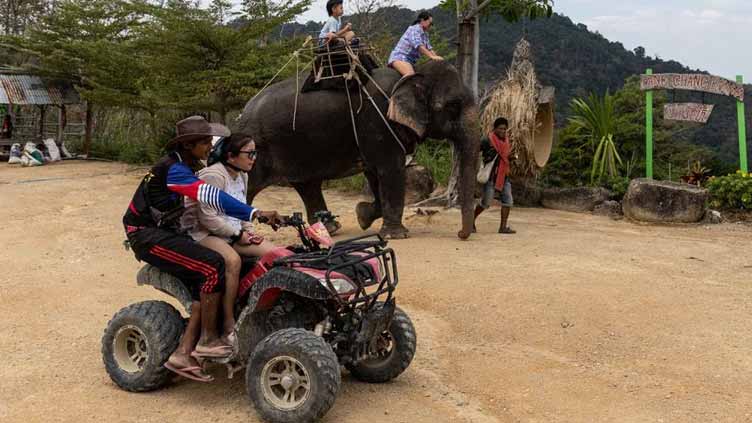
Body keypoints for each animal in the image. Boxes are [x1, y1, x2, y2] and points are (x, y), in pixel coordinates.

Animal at [236, 58, 482, 242]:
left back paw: (330, 229)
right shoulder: (378, 121)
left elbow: (375, 173)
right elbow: (390, 170)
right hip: (256, 146)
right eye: (453, 106)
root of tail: (243, 112)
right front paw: (396, 235)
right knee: (250, 184)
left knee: (308, 185)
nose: (461, 234)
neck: (413, 73)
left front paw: (363, 216)